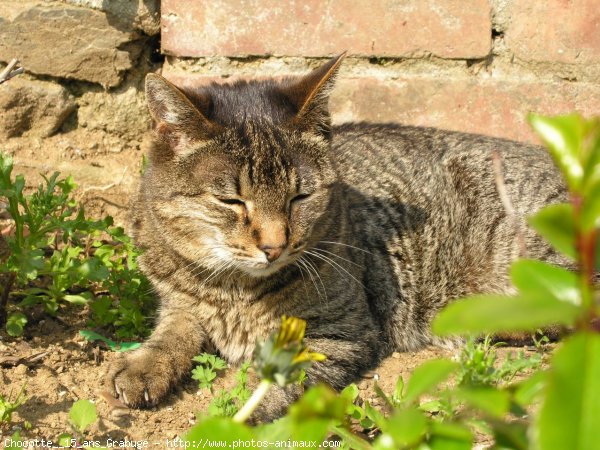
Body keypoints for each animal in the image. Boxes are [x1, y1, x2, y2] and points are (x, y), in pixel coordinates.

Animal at [108, 54, 568, 420]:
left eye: (300, 197)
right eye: (231, 200)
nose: (274, 246)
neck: (232, 289)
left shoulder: (340, 331)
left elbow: (280, 380)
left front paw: (244, 412)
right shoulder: (179, 305)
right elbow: (172, 334)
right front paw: (143, 365)